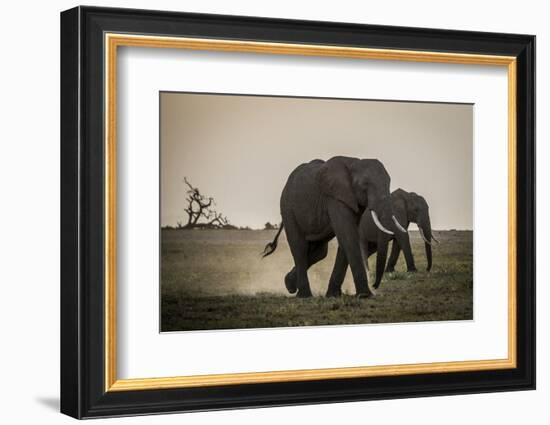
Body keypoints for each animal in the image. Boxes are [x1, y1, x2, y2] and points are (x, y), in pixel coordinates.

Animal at [260, 156, 408, 298]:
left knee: (319, 252)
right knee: (299, 247)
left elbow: (347, 238)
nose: (374, 286)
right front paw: (365, 295)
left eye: (389, 183)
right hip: (288, 209)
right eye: (364, 185)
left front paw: (333, 295)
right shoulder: (334, 198)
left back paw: (289, 285)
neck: (354, 161)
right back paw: (304, 296)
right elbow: (347, 236)